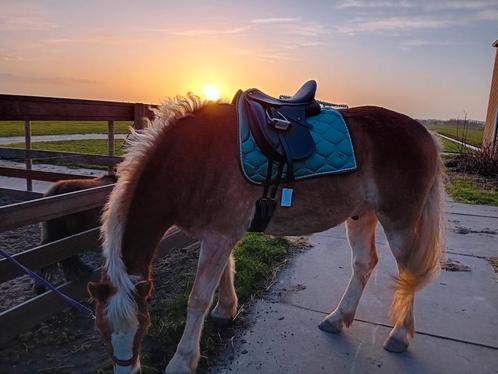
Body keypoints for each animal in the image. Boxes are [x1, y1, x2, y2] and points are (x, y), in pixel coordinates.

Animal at [86, 95, 448, 372]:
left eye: (142, 326)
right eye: (101, 331)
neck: (193, 159)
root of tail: (425, 133)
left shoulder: (219, 235)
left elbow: (198, 298)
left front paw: (182, 360)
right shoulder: (219, 234)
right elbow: (225, 272)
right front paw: (227, 310)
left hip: (398, 220)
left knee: (407, 272)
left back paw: (399, 336)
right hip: (362, 216)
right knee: (364, 263)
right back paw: (338, 318)